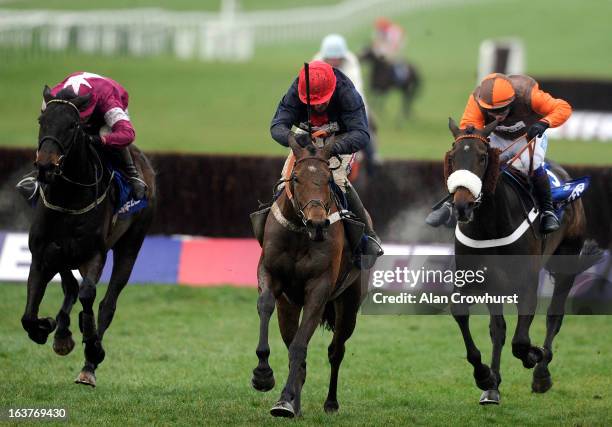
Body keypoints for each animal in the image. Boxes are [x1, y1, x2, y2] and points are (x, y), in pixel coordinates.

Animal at [20, 87, 157, 388]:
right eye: (41, 120)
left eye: (72, 125)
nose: (45, 166)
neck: (68, 198)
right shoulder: (42, 255)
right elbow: (29, 315)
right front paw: (51, 328)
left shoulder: (95, 254)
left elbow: (88, 293)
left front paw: (91, 345)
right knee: (71, 288)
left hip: (131, 243)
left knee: (107, 303)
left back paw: (89, 365)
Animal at [252, 136, 364, 418]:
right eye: (296, 178)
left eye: (327, 178)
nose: (317, 223)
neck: (301, 235)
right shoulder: (270, 273)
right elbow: (265, 305)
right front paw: (263, 375)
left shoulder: (319, 289)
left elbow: (300, 346)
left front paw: (284, 399)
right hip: (290, 307)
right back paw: (295, 404)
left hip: (349, 302)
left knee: (336, 350)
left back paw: (329, 402)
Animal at [442, 118, 600, 406]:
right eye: (453, 156)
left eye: (482, 157)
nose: (462, 206)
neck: (490, 225)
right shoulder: (475, 278)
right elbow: (472, 320)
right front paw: (485, 377)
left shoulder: (526, 283)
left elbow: (521, 341)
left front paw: (534, 356)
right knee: (498, 329)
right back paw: (493, 386)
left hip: (566, 263)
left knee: (554, 316)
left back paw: (542, 373)